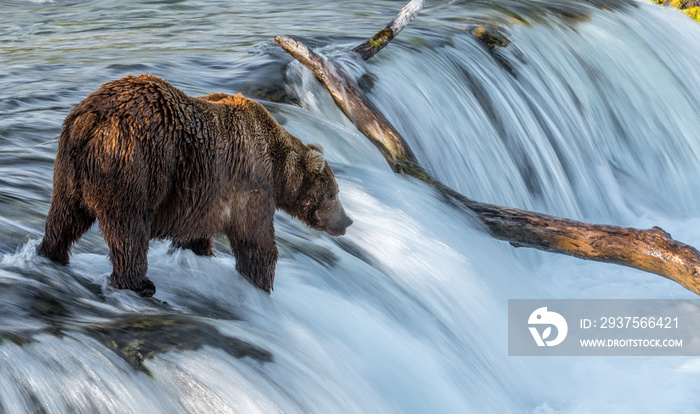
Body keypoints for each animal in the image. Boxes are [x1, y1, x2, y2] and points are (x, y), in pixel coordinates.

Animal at [36, 73, 352, 296]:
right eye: (333, 194)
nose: (347, 221)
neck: (276, 167)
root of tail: (91, 119)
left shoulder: (204, 194)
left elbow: (196, 236)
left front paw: (198, 255)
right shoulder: (250, 182)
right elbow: (255, 240)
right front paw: (261, 282)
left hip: (70, 167)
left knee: (65, 215)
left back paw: (51, 253)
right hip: (135, 162)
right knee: (129, 227)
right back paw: (139, 283)